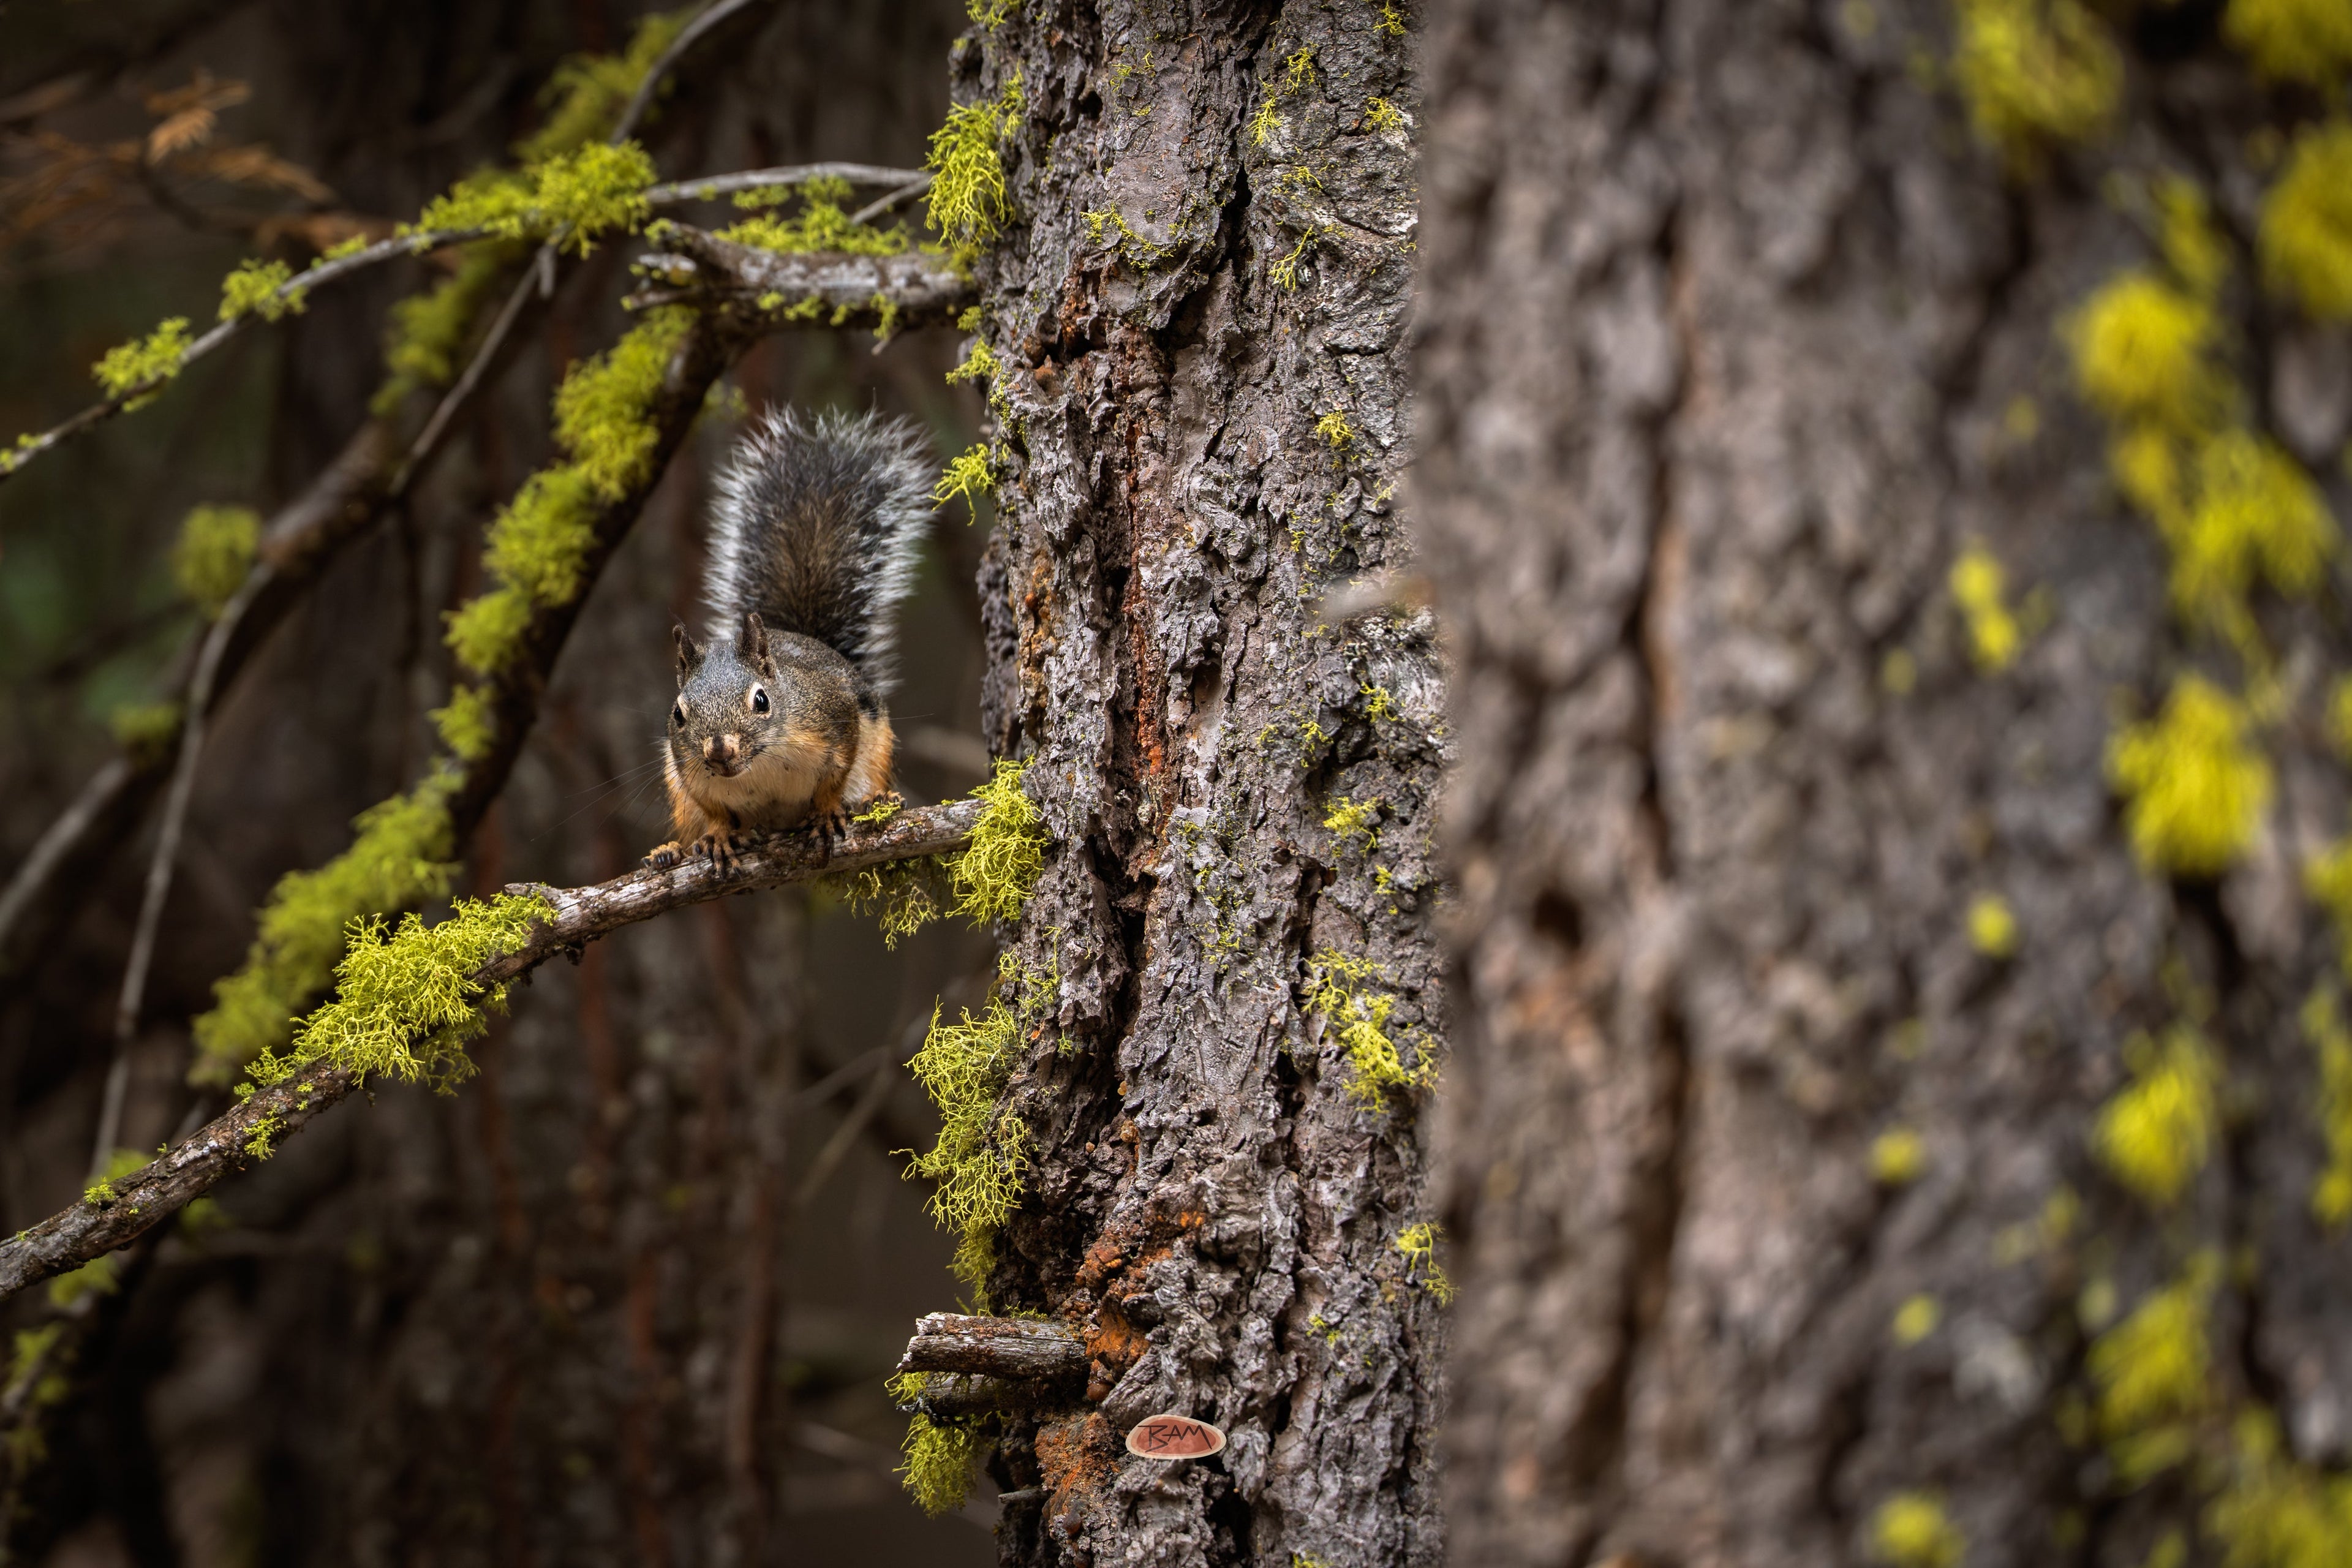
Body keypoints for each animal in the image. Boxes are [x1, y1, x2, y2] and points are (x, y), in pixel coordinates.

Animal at [644, 407, 932, 871]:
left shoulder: (837, 720)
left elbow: (834, 779)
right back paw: (671, 851)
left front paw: (828, 811)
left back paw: (877, 800)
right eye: (678, 714)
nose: (719, 751)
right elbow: (714, 810)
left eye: (761, 700)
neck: (759, 764)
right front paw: (719, 835)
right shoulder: (689, 773)